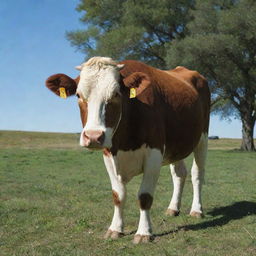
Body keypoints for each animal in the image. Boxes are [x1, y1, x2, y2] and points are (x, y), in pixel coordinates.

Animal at [46, 56, 210, 244]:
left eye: (116, 95)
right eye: (79, 95)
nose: (93, 136)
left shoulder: (154, 153)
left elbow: (145, 196)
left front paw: (144, 232)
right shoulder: (108, 155)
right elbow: (118, 195)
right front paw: (115, 229)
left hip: (203, 138)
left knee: (197, 174)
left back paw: (196, 210)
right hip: (176, 146)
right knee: (179, 174)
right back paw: (173, 208)